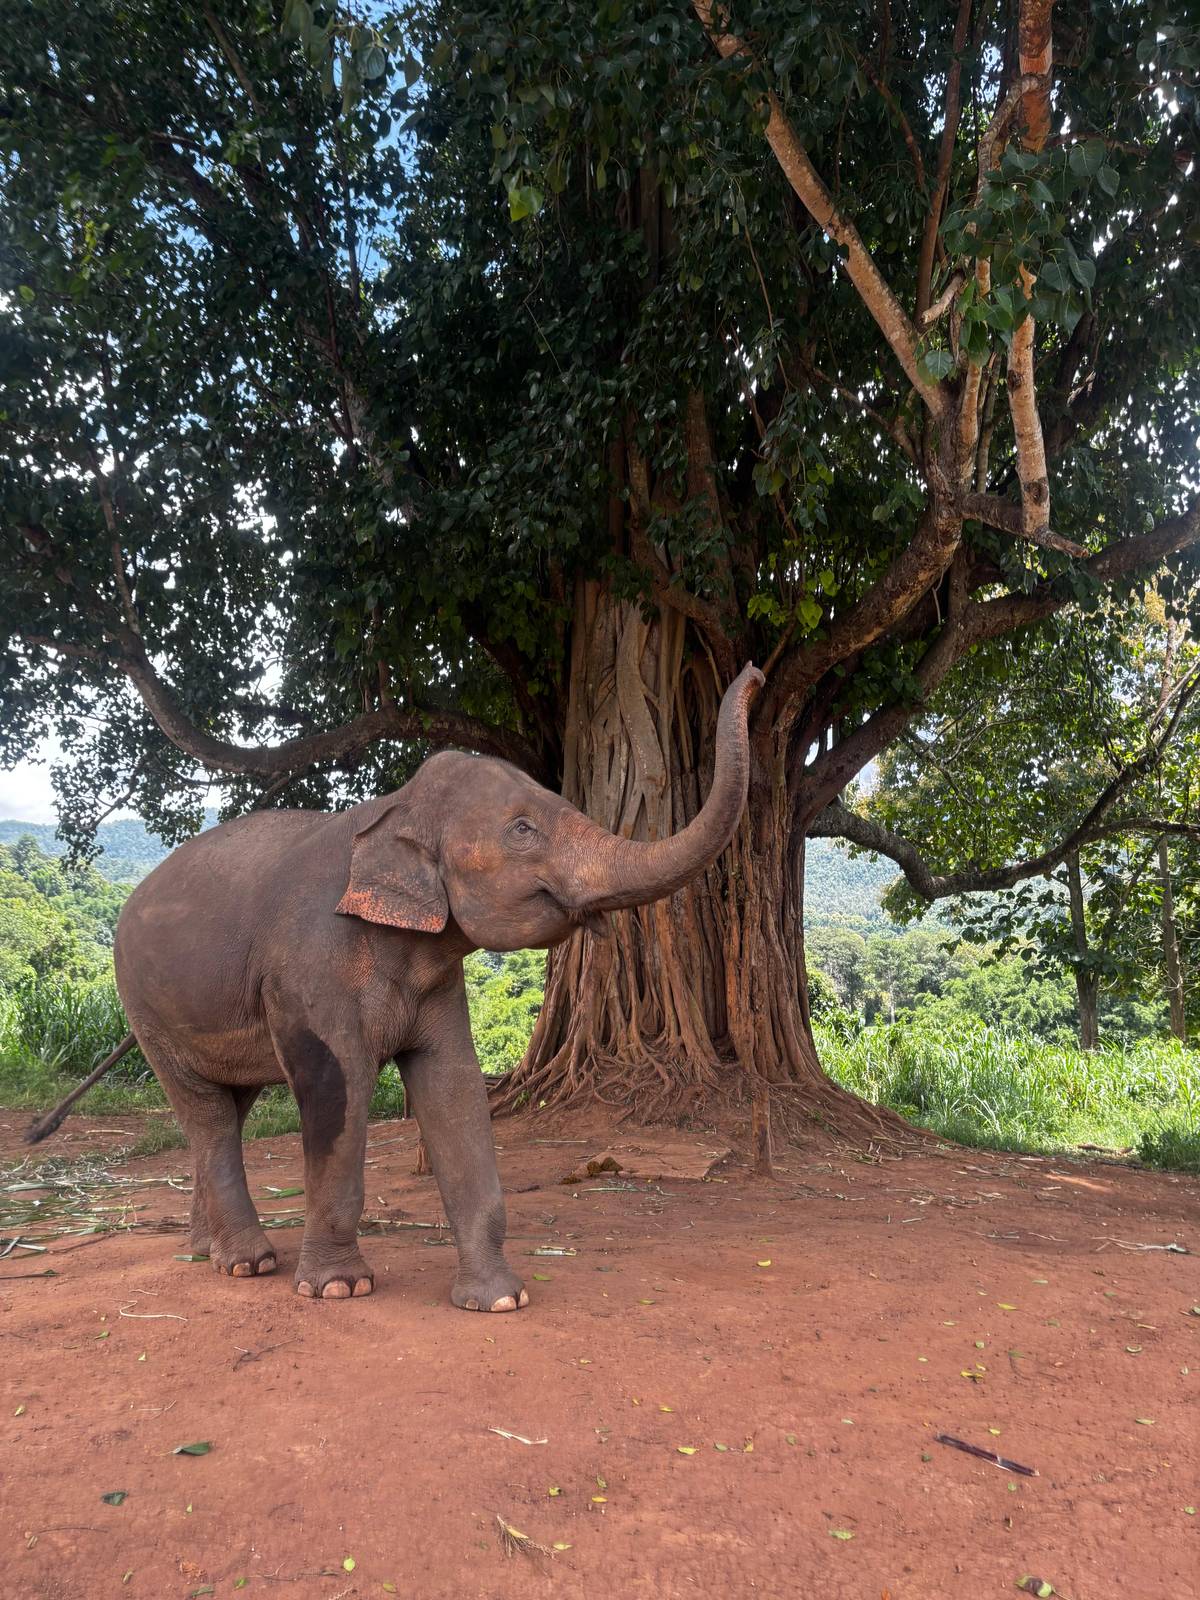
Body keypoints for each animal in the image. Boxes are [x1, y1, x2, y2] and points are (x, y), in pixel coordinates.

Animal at [112, 662, 763, 1310]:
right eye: (522, 828)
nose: (755, 674)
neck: (393, 805)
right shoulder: (310, 970)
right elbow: (337, 1093)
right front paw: (339, 1288)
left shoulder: (436, 981)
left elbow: (455, 1085)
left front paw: (498, 1301)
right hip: (146, 1009)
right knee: (207, 1115)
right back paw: (248, 1263)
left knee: (231, 1103)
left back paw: (208, 1251)